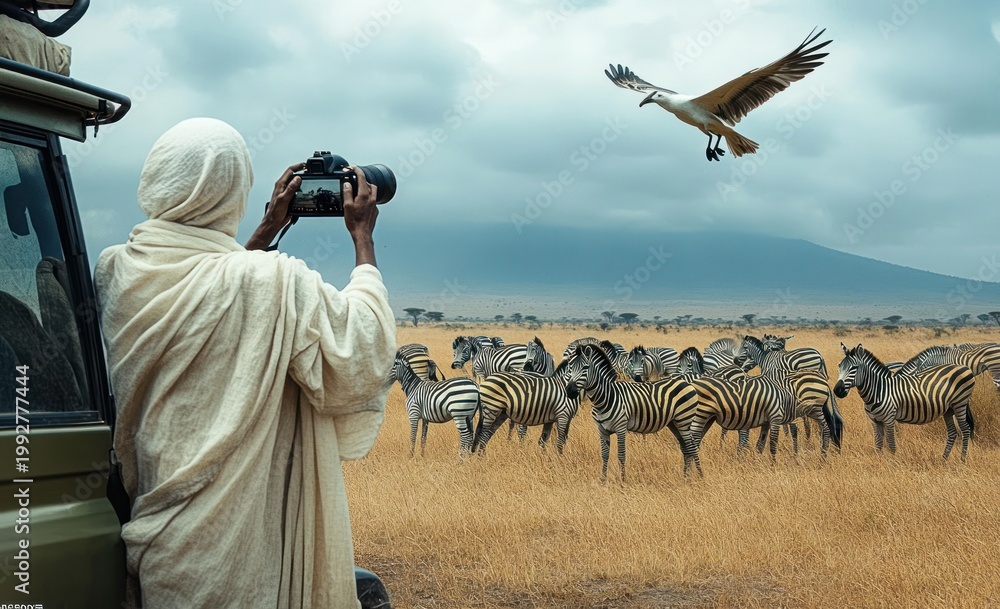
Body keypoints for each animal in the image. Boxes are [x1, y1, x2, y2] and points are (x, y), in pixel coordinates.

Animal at [566, 343, 702, 482]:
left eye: (585, 367)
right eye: (570, 367)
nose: (569, 391)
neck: (606, 397)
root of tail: (685, 382)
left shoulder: (621, 427)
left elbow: (621, 455)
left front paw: (622, 481)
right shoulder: (602, 430)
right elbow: (604, 455)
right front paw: (603, 481)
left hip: (684, 420)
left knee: (692, 447)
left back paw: (699, 476)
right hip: (674, 423)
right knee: (686, 449)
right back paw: (685, 477)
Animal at [834, 343, 976, 460]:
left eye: (854, 367)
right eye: (839, 366)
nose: (837, 390)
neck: (879, 390)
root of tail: (964, 367)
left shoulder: (889, 418)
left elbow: (891, 445)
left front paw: (892, 464)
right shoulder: (875, 420)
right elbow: (878, 445)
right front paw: (879, 463)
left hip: (959, 404)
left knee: (965, 429)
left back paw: (962, 459)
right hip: (948, 409)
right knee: (952, 432)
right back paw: (944, 459)